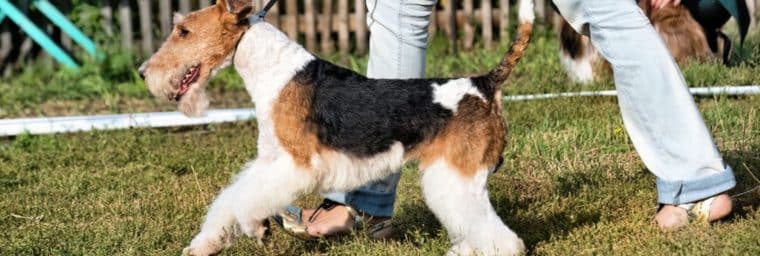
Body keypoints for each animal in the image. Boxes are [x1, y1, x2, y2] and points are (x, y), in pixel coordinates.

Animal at [138, 0, 536, 254]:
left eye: (184, 31)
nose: (143, 72)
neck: (275, 72)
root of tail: (484, 84)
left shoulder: (296, 164)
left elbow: (243, 199)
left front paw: (253, 226)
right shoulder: (269, 160)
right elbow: (231, 198)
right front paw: (207, 244)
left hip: (456, 175)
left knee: (504, 240)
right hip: (454, 178)